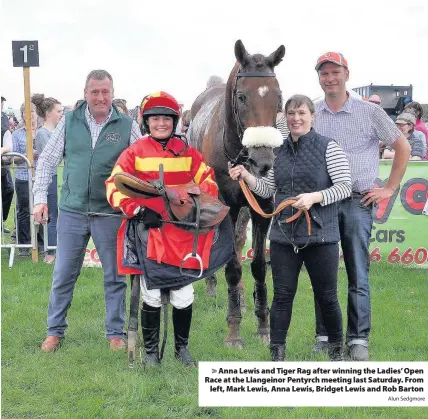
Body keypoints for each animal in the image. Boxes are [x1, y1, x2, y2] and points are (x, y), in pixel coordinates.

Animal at [190, 39, 284, 348]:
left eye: (279, 98)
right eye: (242, 97)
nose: (263, 162)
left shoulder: (262, 205)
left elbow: (258, 265)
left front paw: (264, 325)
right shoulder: (227, 206)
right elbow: (231, 267)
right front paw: (233, 331)